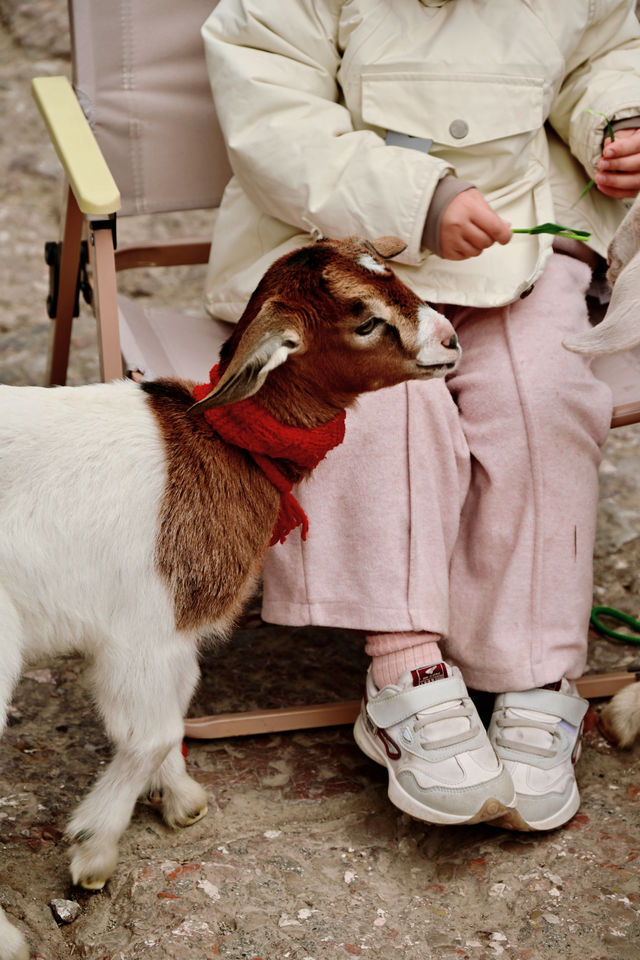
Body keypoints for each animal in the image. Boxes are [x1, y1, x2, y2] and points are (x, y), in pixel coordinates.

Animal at [0, 234, 460, 960]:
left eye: (393, 273)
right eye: (365, 321)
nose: (450, 340)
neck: (221, 440)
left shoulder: (167, 638)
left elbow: (171, 716)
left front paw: (181, 798)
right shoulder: (146, 628)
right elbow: (155, 731)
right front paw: (94, 849)